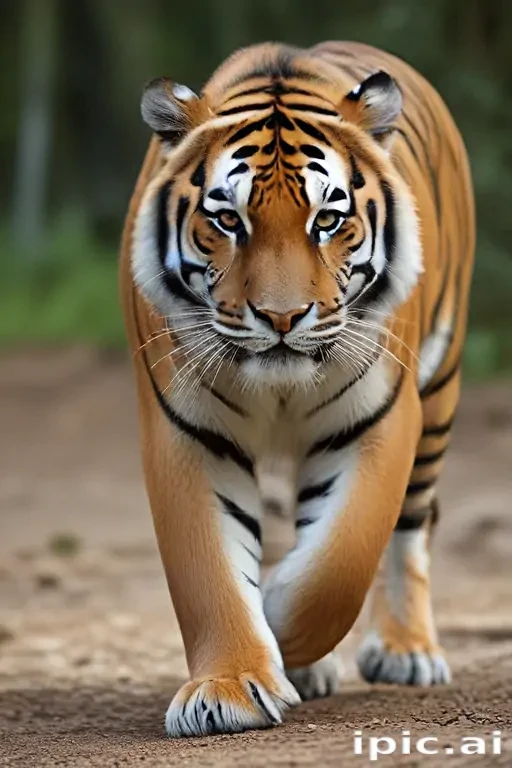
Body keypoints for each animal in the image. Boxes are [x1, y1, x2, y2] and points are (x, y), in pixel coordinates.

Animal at [120, 41, 474, 737]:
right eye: (228, 220)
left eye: (328, 220)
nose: (281, 318)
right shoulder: (187, 430)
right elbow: (208, 571)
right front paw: (227, 689)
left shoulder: (380, 420)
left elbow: (340, 562)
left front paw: (280, 623)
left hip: (439, 394)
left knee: (411, 527)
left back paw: (406, 651)